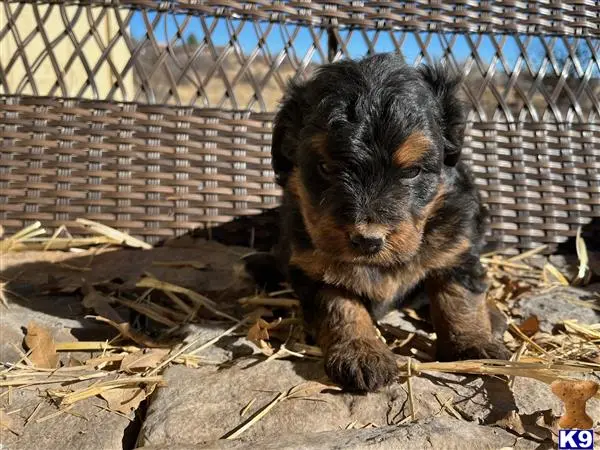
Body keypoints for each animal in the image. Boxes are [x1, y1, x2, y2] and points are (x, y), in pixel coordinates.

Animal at [241, 51, 508, 390]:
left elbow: (459, 297)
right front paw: (361, 353)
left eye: (412, 171)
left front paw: (474, 343)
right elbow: (341, 308)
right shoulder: (314, 266)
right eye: (326, 168)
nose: (367, 240)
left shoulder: (455, 247)